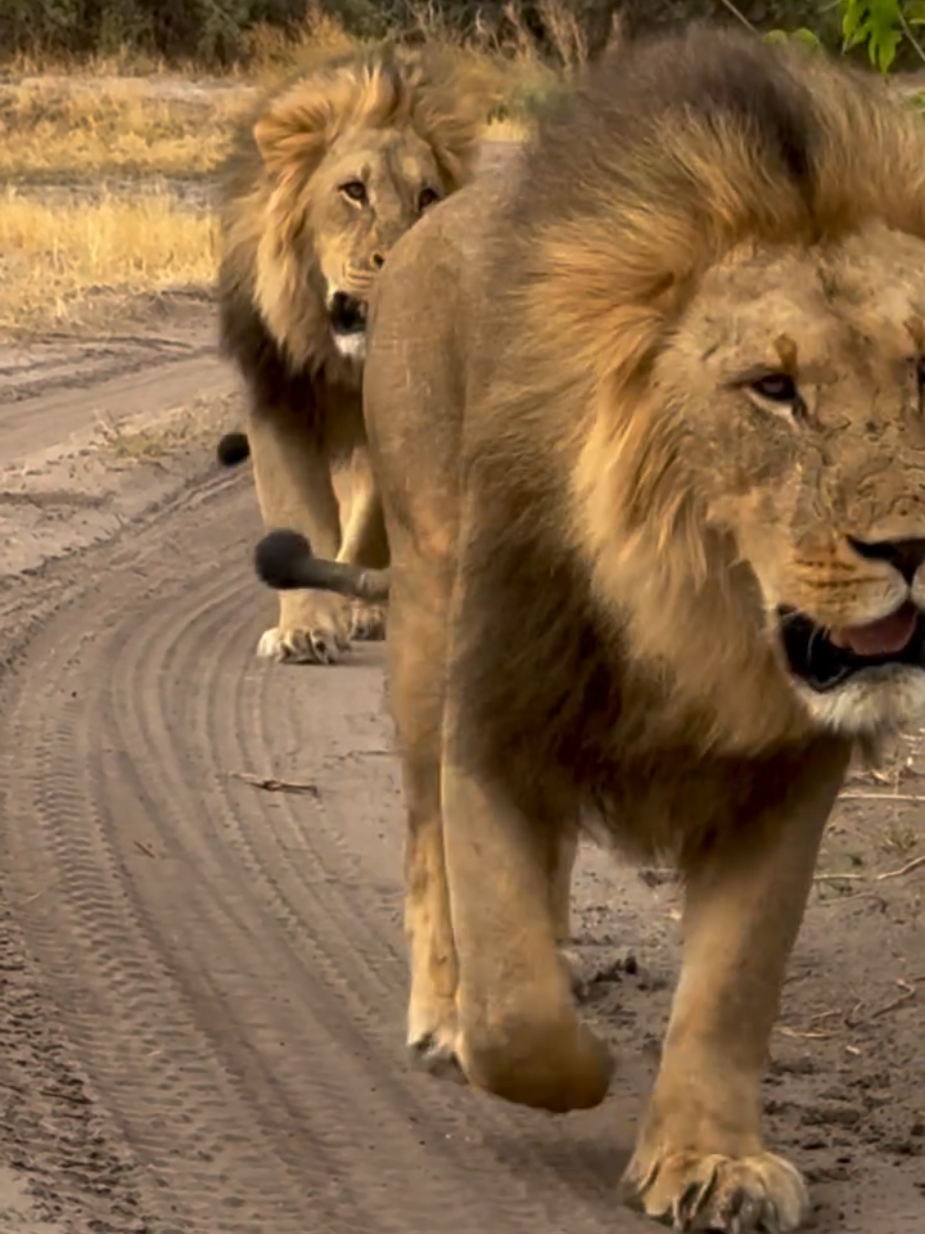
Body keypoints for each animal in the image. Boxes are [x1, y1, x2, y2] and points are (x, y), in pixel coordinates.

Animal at [216, 43, 494, 663]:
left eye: (426, 197)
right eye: (354, 191)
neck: (340, 360)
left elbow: (367, 525)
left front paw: (354, 601)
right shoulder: (279, 402)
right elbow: (297, 510)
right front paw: (304, 627)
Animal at [251, 24, 925, 1234]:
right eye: (772, 389)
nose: (915, 548)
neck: (697, 619)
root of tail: (424, 227)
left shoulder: (785, 775)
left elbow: (731, 986)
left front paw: (709, 1159)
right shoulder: (491, 711)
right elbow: (514, 1007)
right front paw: (547, 1056)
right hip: (423, 619)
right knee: (427, 845)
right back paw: (441, 1007)